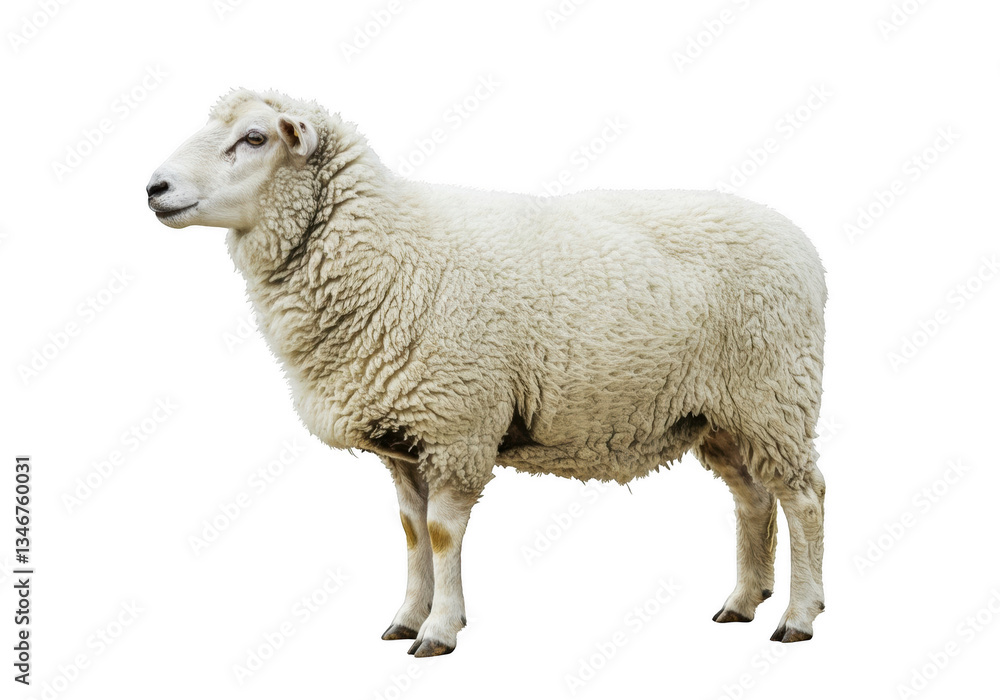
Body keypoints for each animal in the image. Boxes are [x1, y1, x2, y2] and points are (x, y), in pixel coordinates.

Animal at [146, 88, 828, 657]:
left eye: (254, 138)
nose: (154, 187)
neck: (385, 253)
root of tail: (801, 245)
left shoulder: (458, 425)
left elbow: (443, 534)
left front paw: (440, 630)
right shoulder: (406, 440)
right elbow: (411, 532)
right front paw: (406, 618)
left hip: (774, 394)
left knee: (804, 498)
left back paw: (798, 616)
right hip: (721, 413)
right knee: (753, 498)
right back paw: (742, 602)